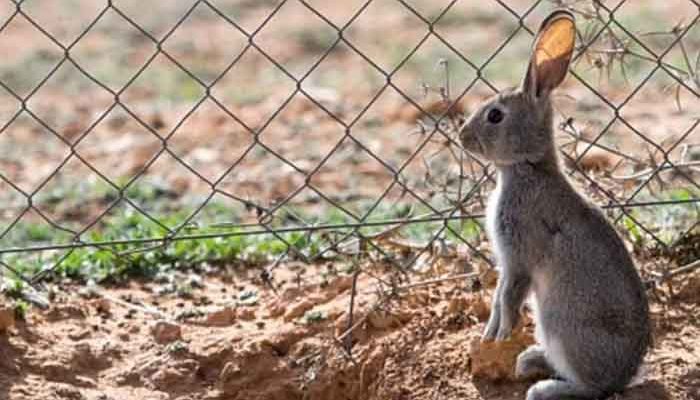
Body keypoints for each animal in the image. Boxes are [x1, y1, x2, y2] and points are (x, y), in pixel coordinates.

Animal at [458, 10, 651, 400]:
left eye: (495, 116)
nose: (461, 136)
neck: (527, 166)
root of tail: (624, 376)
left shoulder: (519, 255)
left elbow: (509, 296)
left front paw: (500, 334)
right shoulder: (508, 260)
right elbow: (498, 296)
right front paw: (491, 334)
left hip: (559, 322)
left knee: (592, 388)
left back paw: (542, 387)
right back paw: (528, 361)